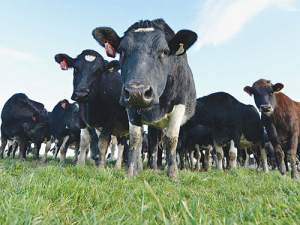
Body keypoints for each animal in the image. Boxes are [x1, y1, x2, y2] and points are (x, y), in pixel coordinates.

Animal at [92, 18, 198, 179]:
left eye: (165, 51)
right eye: (121, 51)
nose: (137, 91)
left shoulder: (180, 105)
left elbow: (171, 141)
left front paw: (173, 175)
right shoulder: (130, 105)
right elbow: (136, 139)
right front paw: (130, 172)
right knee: (154, 143)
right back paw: (152, 167)